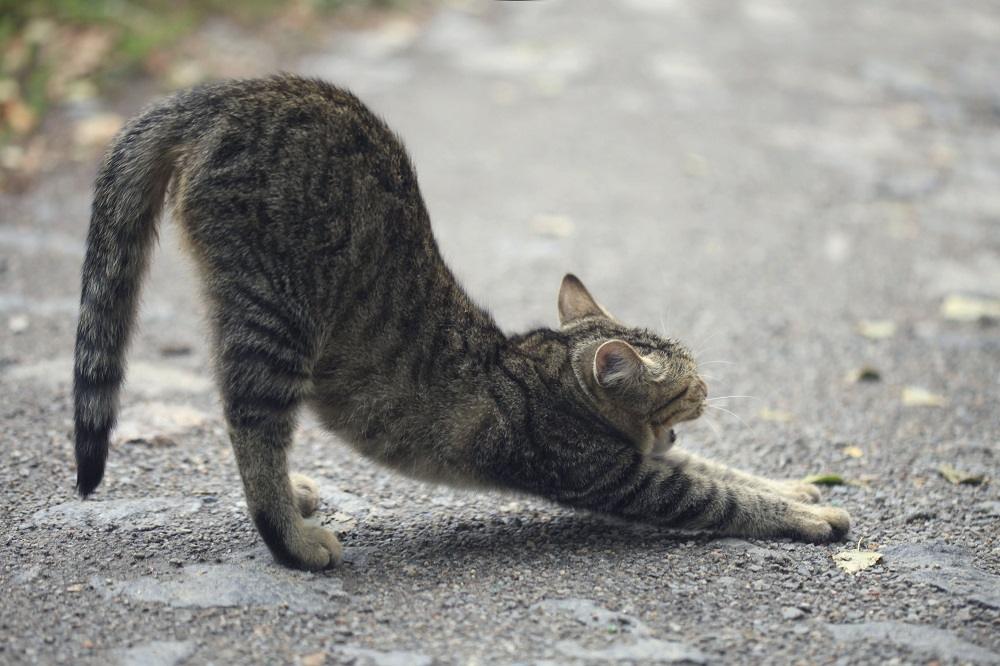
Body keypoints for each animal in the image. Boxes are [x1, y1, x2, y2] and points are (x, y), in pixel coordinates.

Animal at [74, 74, 848, 572]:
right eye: (688, 385)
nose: (708, 391)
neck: (546, 372)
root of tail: (218, 94)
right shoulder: (615, 475)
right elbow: (718, 497)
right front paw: (806, 517)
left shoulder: (651, 455)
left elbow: (725, 470)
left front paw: (797, 488)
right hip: (275, 316)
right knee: (251, 425)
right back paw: (291, 538)